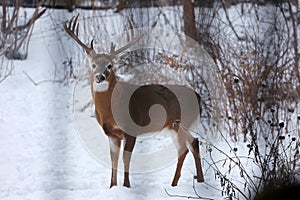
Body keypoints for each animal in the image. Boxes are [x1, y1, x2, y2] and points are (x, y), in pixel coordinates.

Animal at [63, 15, 204, 188]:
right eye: (93, 65)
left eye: (110, 65)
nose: (99, 77)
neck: (110, 109)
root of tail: (198, 96)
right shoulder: (111, 134)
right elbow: (113, 160)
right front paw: (112, 186)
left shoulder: (132, 129)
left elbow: (126, 158)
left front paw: (126, 185)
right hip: (176, 125)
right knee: (193, 143)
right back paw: (198, 180)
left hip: (182, 122)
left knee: (185, 147)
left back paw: (175, 183)